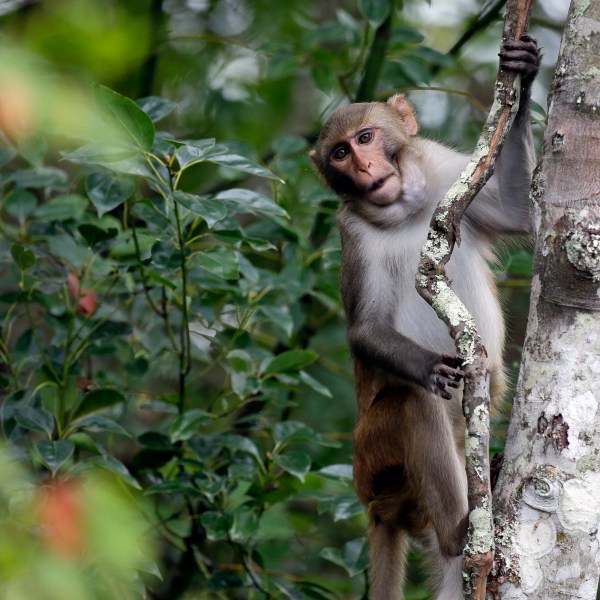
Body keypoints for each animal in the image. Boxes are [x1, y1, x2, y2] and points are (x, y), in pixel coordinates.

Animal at [312, 35, 540, 596]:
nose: (364, 170)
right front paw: (429, 367)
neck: (405, 209)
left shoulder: (444, 170)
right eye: (340, 153)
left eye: (366, 137)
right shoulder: (353, 234)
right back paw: (460, 532)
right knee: (413, 405)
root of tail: (376, 506)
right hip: (373, 457)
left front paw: (523, 75)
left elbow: (520, 212)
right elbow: (366, 329)